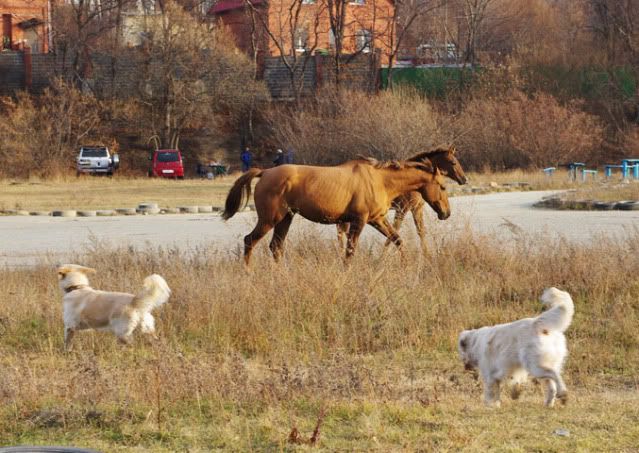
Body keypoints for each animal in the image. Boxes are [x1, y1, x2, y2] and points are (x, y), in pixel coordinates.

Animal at [224, 157, 450, 264]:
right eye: (443, 186)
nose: (446, 213)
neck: (379, 180)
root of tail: (265, 172)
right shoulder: (359, 221)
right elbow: (350, 252)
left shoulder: (377, 219)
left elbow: (397, 239)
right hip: (270, 219)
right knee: (249, 241)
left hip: (285, 218)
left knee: (276, 247)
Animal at [338, 146, 468, 247]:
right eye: (453, 162)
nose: (464, 179)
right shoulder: (402, 209)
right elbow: (394, 233)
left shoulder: (416, 208)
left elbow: (421, 232)